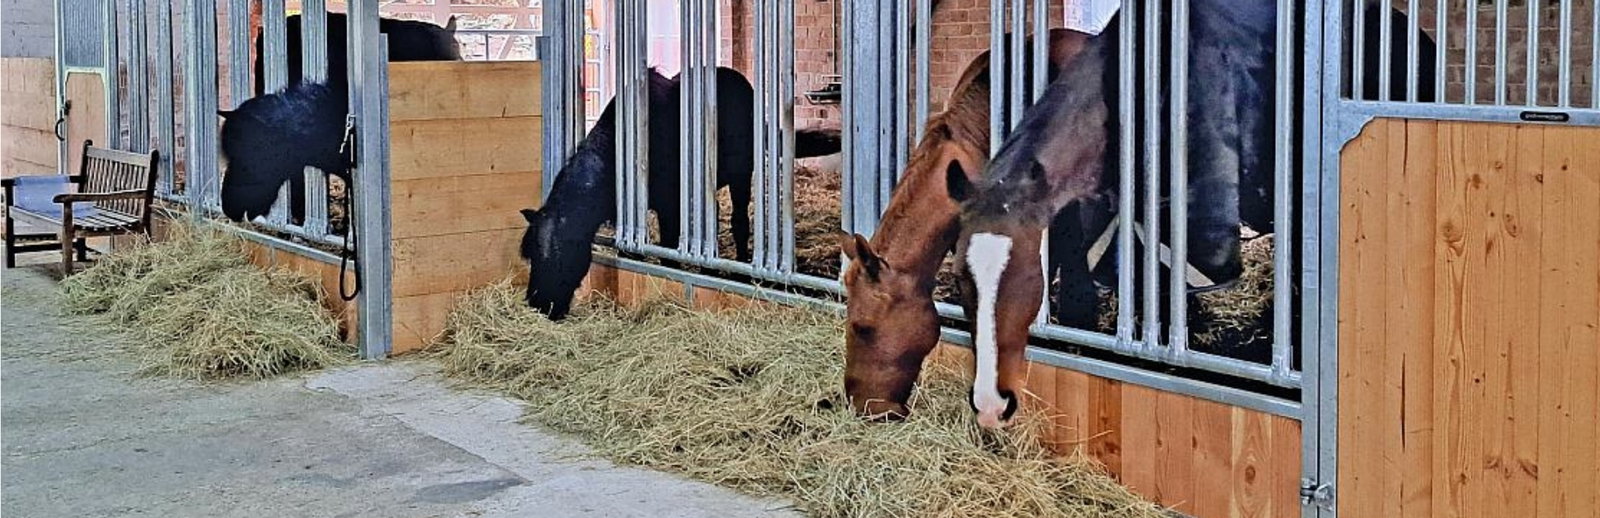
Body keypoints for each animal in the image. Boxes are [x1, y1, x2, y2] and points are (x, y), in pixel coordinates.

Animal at [520, 66, 844, 320]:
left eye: (560, 254)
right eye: (531, 254)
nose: (539, 305)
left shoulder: (668, 208)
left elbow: (668, 255)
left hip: (741, 177)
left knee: (739, 223)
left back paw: (740, 269)